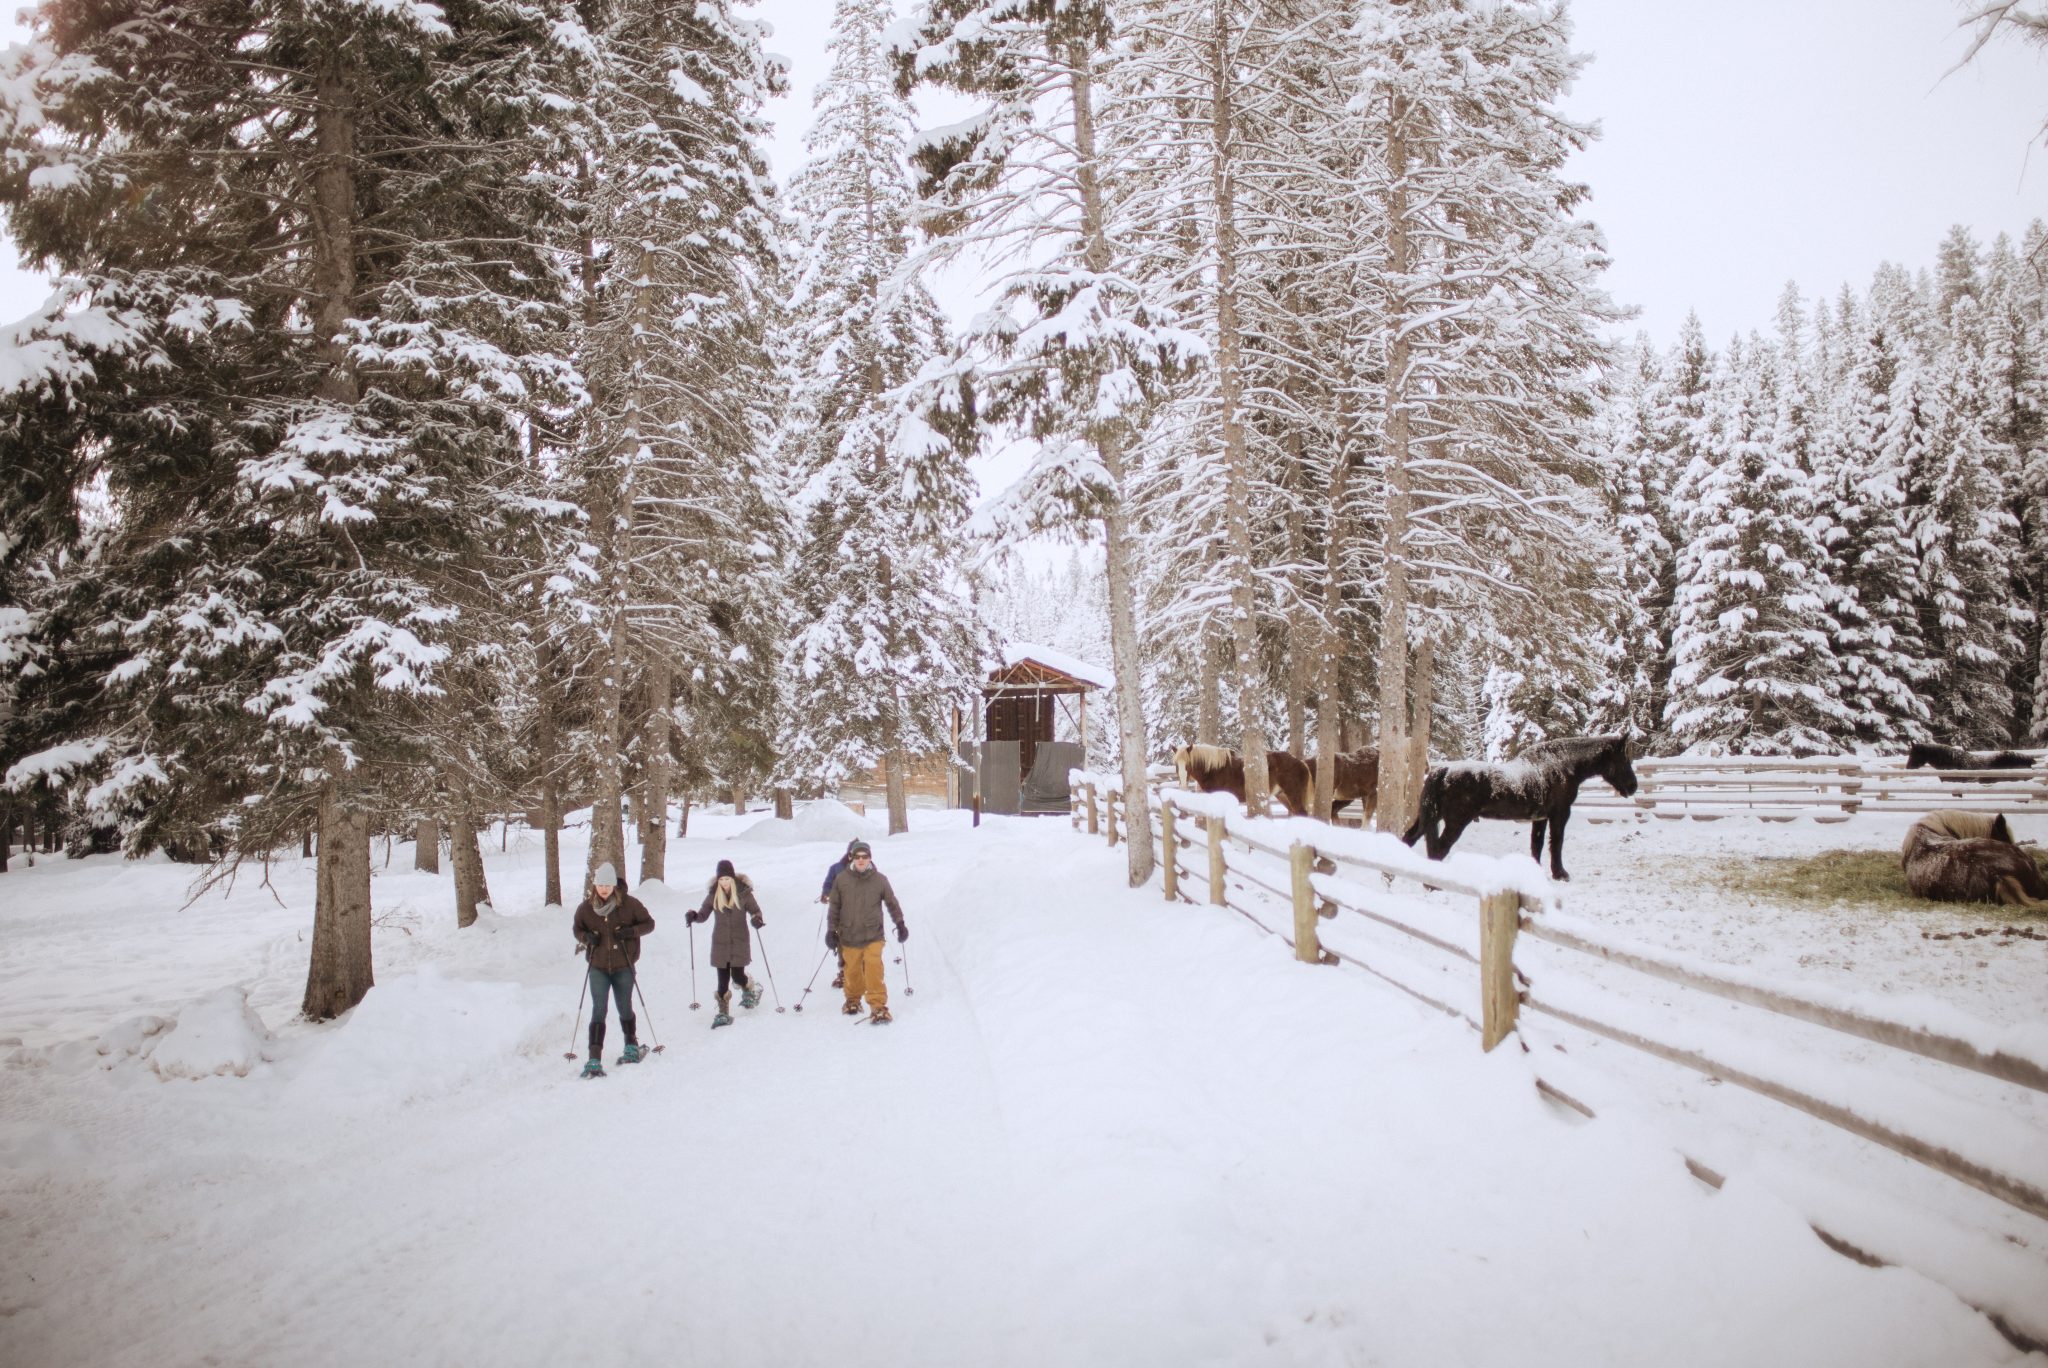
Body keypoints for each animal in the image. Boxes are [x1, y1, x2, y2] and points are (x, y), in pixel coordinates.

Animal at [1179, 741, 1318, 819]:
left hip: (1294, 796)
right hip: (1283, 796)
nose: (1183, 783)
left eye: (1188, 764)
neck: (1215, 769)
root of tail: (1300, 762)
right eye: (1176, 763)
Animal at [1400, 733, 1638, 880]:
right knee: (1439, 849)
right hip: (1455, 822)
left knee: (1409, 839)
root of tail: (1444, 770)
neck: (1562, 766)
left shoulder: (1540, 818)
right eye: (1623, 760)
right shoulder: (1559, 815)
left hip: (1430, 818)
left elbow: (1537, 845)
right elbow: (1556, 844)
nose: (1633, 786)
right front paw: (1560, 874)